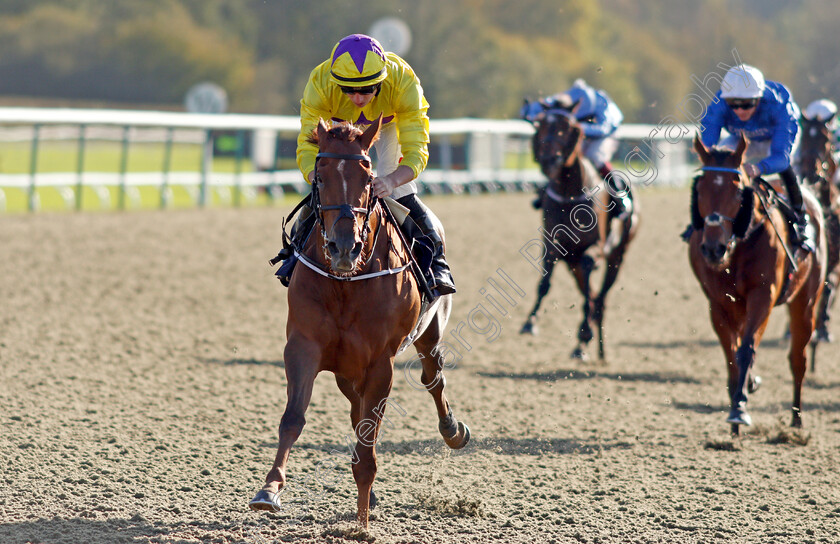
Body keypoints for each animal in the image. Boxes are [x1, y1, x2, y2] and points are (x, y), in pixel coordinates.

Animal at [249, 118, 472, 528]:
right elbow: (293, 418)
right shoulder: (304, 346)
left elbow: (370, 435)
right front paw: (269, 490)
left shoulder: (380, 361)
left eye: (369, 179)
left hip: (429, 332)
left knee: (433, 378)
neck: (346, 282)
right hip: (345, 366)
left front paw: (363, 522)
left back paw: (453, 431)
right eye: (320, 176)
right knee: (357, 408)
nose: (343, 247)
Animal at [516, 106, 640, 362]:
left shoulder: (597, 248)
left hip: (617, 257)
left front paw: (584, 332)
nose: (549, 160)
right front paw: (530, 323)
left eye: (569, 127)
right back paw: (585, 347)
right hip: (572, 265)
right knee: (591, 296)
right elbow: (544, 282)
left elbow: (589, 270)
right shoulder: (552, 244)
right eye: (541, 125)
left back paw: (592, 344)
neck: (569, 193)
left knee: (599, 299)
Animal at [688, 134, 828, 436]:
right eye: (700, 188)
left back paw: (796, 421)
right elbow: (731, 353)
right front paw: (740, 397)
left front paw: (740, 408)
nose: (713, 248)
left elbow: (747, 348)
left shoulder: (763, 295)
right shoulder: (718, 302)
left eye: (737, 190)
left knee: (798, 359)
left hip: (806, 300)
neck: (738, 246)